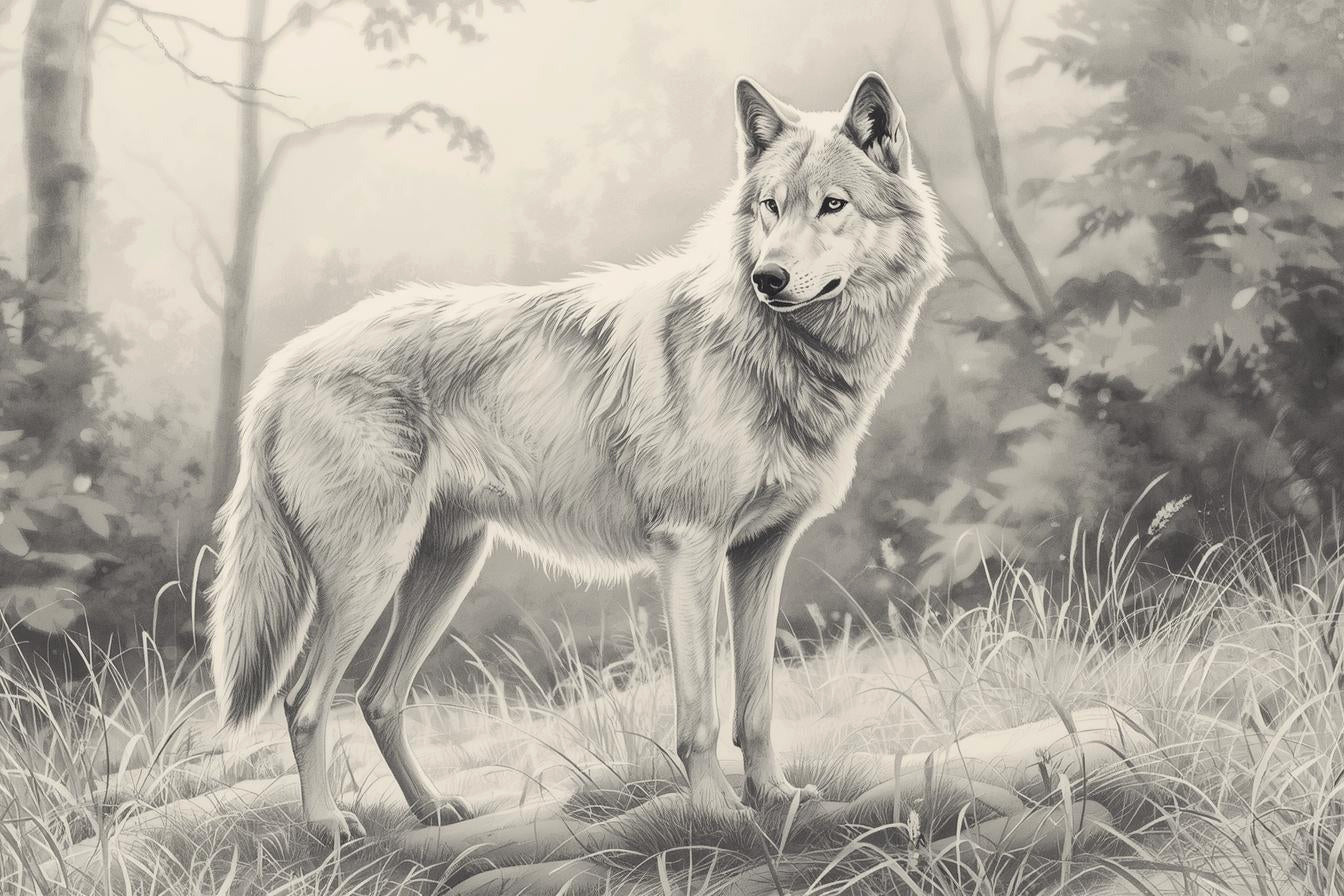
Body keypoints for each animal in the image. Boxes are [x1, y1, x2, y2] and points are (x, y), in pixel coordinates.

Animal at [207, 71, 947, 843]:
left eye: (832, 205)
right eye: (770, 207)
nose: (768, 278)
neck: (777, 354)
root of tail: (280, 368)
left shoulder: (759, 556)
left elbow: (757, 704)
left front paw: (775, 796)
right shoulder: (688, 548)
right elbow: (701, 713)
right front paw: (717, 812)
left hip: (446, 567)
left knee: (379, 698)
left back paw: (433, 809)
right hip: (368, 576)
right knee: (303, 701)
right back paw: (328, 824)